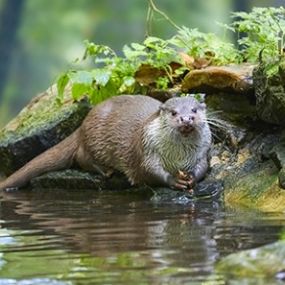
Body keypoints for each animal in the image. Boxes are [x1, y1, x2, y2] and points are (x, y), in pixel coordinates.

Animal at [0, 94, 211, 190]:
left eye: (194, 110)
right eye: (174, 113)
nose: (186, 119)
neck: (177, 157)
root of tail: (83, 123)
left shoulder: (202, 152)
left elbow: (203, 167)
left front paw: (191, 177)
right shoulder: (146, 150)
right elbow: (149, 172)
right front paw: (175, 180)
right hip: (95, 141)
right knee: (81, 157)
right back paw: (105, 170)